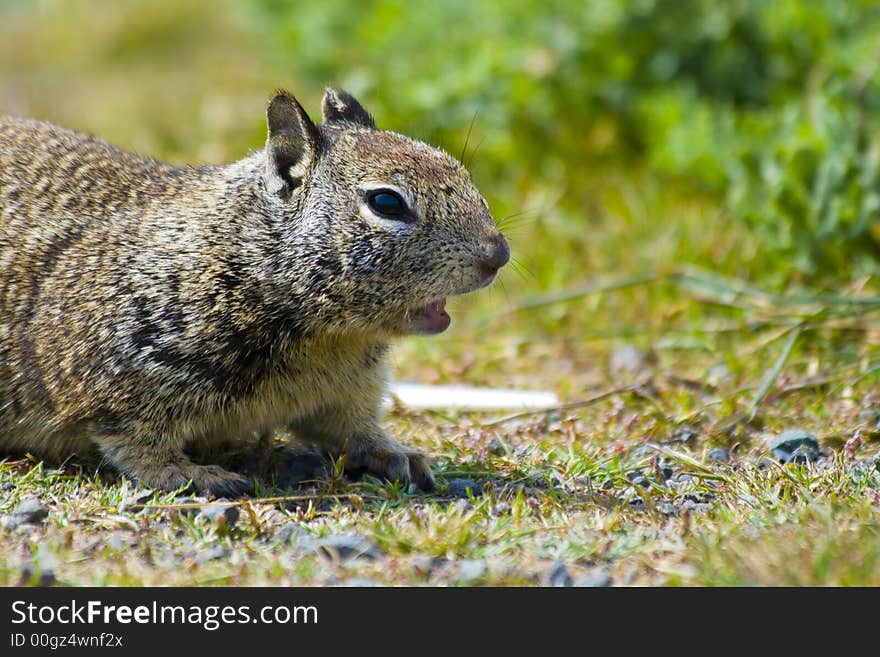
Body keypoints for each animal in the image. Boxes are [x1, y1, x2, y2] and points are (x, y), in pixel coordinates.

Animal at [0, 88, 508, 498]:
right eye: (386, 202)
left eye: (457, 167)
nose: (498, 254)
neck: (327, 337)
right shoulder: (114, 377)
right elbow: (138, 446)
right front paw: (196, 475)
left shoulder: (348, 391)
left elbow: (352, 430)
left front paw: (398, 453)